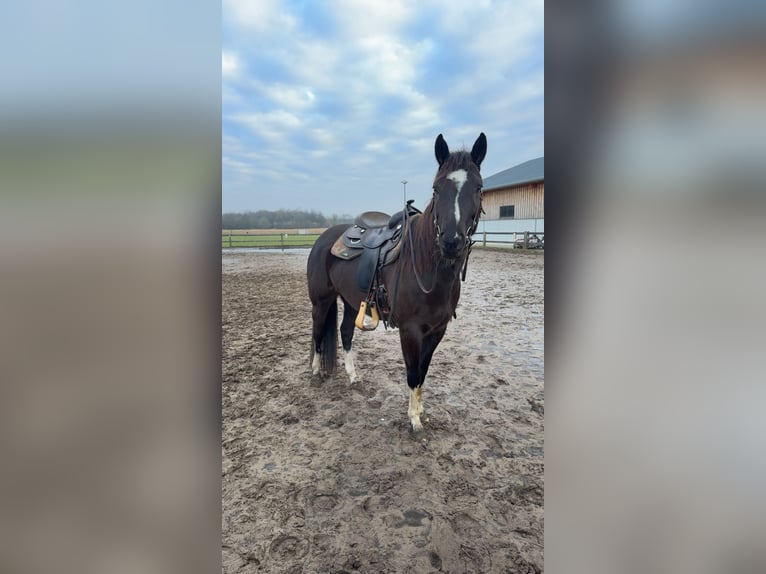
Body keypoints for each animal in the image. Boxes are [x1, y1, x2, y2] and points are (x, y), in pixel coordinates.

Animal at [306, 132, 487, 431]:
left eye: (479, 187)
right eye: (436, 189)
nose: (451, 242)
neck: (427, 268)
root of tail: (324, 237)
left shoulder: (437, 330)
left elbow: (423, 372)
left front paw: (420, 410)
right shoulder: (410, 330)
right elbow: (413, 373)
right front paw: (413, 420)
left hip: (352, 302)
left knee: (345, 332)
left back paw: (353, 376)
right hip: (321, 301)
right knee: (318, 333)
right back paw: (315, 372)